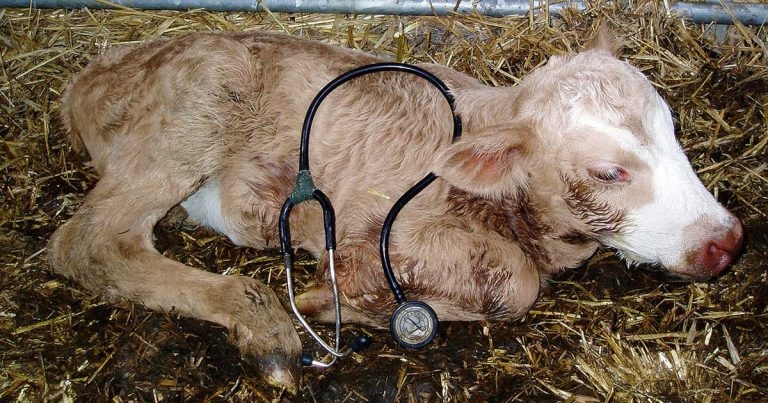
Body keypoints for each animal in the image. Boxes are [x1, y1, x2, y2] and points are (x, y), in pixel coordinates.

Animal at [49, 26, 743, 392]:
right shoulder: (379, 233)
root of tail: (95, 73)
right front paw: (328, 300)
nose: (727, 242)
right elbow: (512, 284)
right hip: (192, 122)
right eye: (607, 172)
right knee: (91, 241)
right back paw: (264, 324)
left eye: (674, 130)